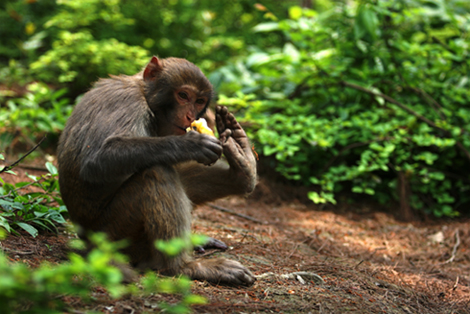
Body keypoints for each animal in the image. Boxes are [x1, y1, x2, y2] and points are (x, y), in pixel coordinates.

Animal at [57, 55, 258, 286]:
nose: (190, 116)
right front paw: (191, 144)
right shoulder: (126, 102)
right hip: (116, 236)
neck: (145, 97)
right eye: (183, 95)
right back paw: (184, 267)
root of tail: (87, 240)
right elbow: (96, 161)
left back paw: (242, 168)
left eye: (199, 101)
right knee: (155, 172)